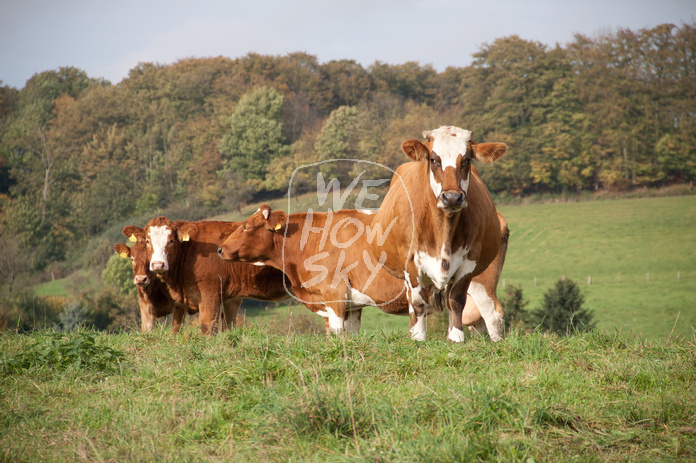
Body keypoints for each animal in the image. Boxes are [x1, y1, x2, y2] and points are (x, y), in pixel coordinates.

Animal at [219, 207, 512, 338]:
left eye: (246, 227)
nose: (220, 249)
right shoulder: (352, 303)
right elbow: (350, 333)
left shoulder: (334, 293)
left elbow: (337, 332)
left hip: (479, 283)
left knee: (493, 314)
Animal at [370, 125, 506, 342]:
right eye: (434, 159)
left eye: (466, 160)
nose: (452, 197)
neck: (443, 228)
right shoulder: (410, 261)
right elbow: (417, 303)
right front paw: (418, 337)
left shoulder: (470, 261)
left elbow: (457, 300)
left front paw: (457, 337)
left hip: (482, 283)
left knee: (489, 313)